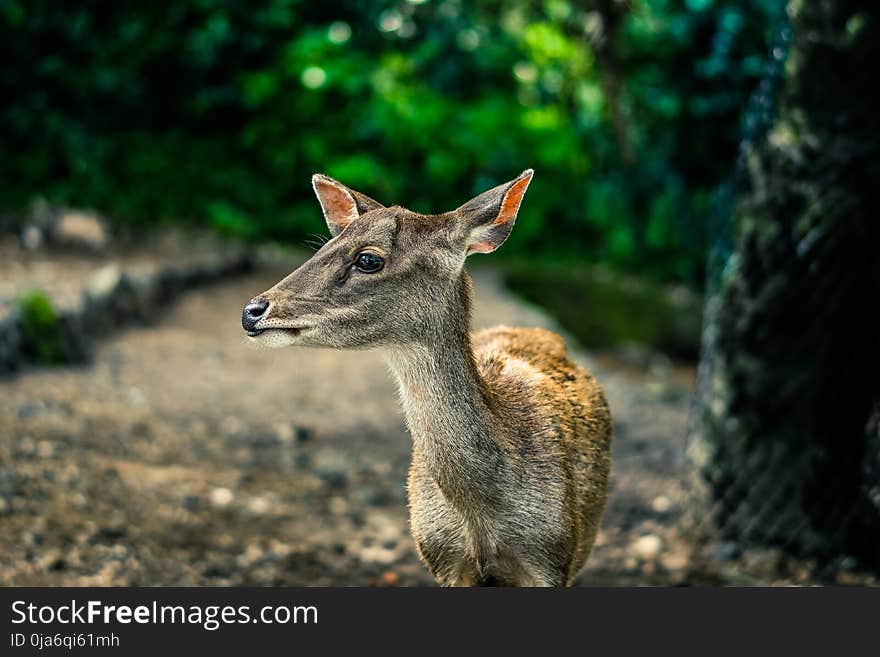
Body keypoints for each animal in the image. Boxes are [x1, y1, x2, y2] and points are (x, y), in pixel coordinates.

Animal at [241, 168, 612, 584]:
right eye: (322, 246)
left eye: (368, 259)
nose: (252, 310)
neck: (481, 512)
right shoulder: (440, 553)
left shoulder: (550, 555)